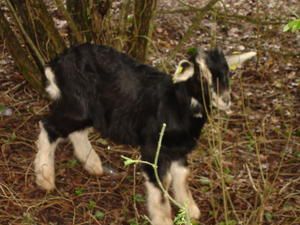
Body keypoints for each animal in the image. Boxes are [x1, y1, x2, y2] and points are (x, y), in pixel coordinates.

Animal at [35, 43, 255, 224]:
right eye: (201, 76)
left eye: (228, 73)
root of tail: (56, 63)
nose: (225, 100)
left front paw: (190, 210)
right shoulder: (153, 149)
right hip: (77, 106)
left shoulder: (178, 149)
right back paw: (45, 178)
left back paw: (92, 164)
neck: (178, 105)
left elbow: (182, 177)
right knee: (49, 126)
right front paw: (164, 220)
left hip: (88, 111)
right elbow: (161, 188)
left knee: (76, 132)